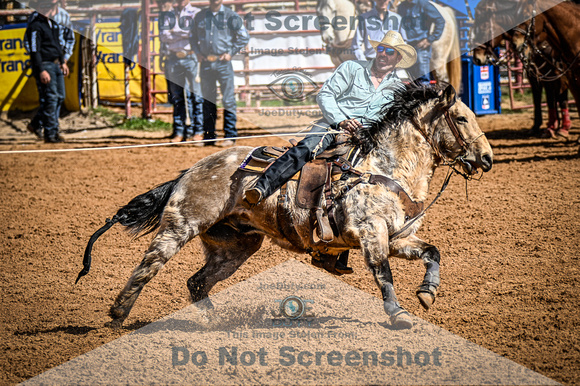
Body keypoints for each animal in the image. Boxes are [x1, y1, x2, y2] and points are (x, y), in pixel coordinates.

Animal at [78, 83, 494, 330]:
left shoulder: (397, 238)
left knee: (197, 282)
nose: (487, 158)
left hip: (236, 246)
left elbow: (432, 252)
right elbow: (382, 273)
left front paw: (427, 293)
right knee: (147, 267)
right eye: (461, 118)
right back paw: (118, 314)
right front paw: (399, 314)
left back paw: (216, 323)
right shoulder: (371, 234)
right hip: (180, 227)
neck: (383, 167)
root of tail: (189, 170)